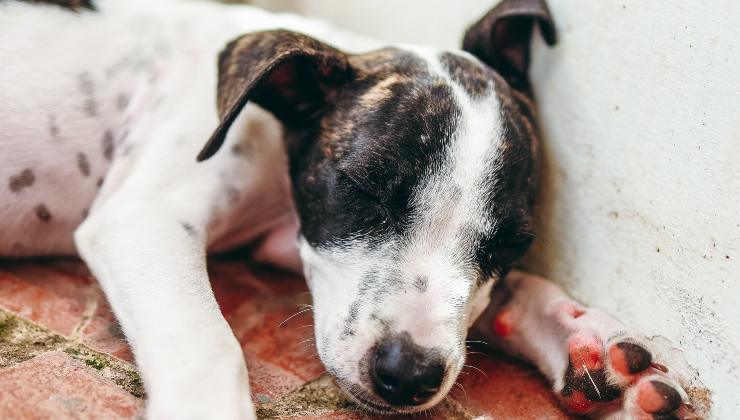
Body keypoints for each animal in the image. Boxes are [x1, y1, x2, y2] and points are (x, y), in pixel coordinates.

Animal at [0, 0, 700, 418]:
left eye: (510, 242)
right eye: (363, 189)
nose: (409, 375)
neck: (273, 129)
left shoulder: (288, 239)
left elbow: (503, 292)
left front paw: (584, 339)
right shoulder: (144, 217)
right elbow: (209, 343)